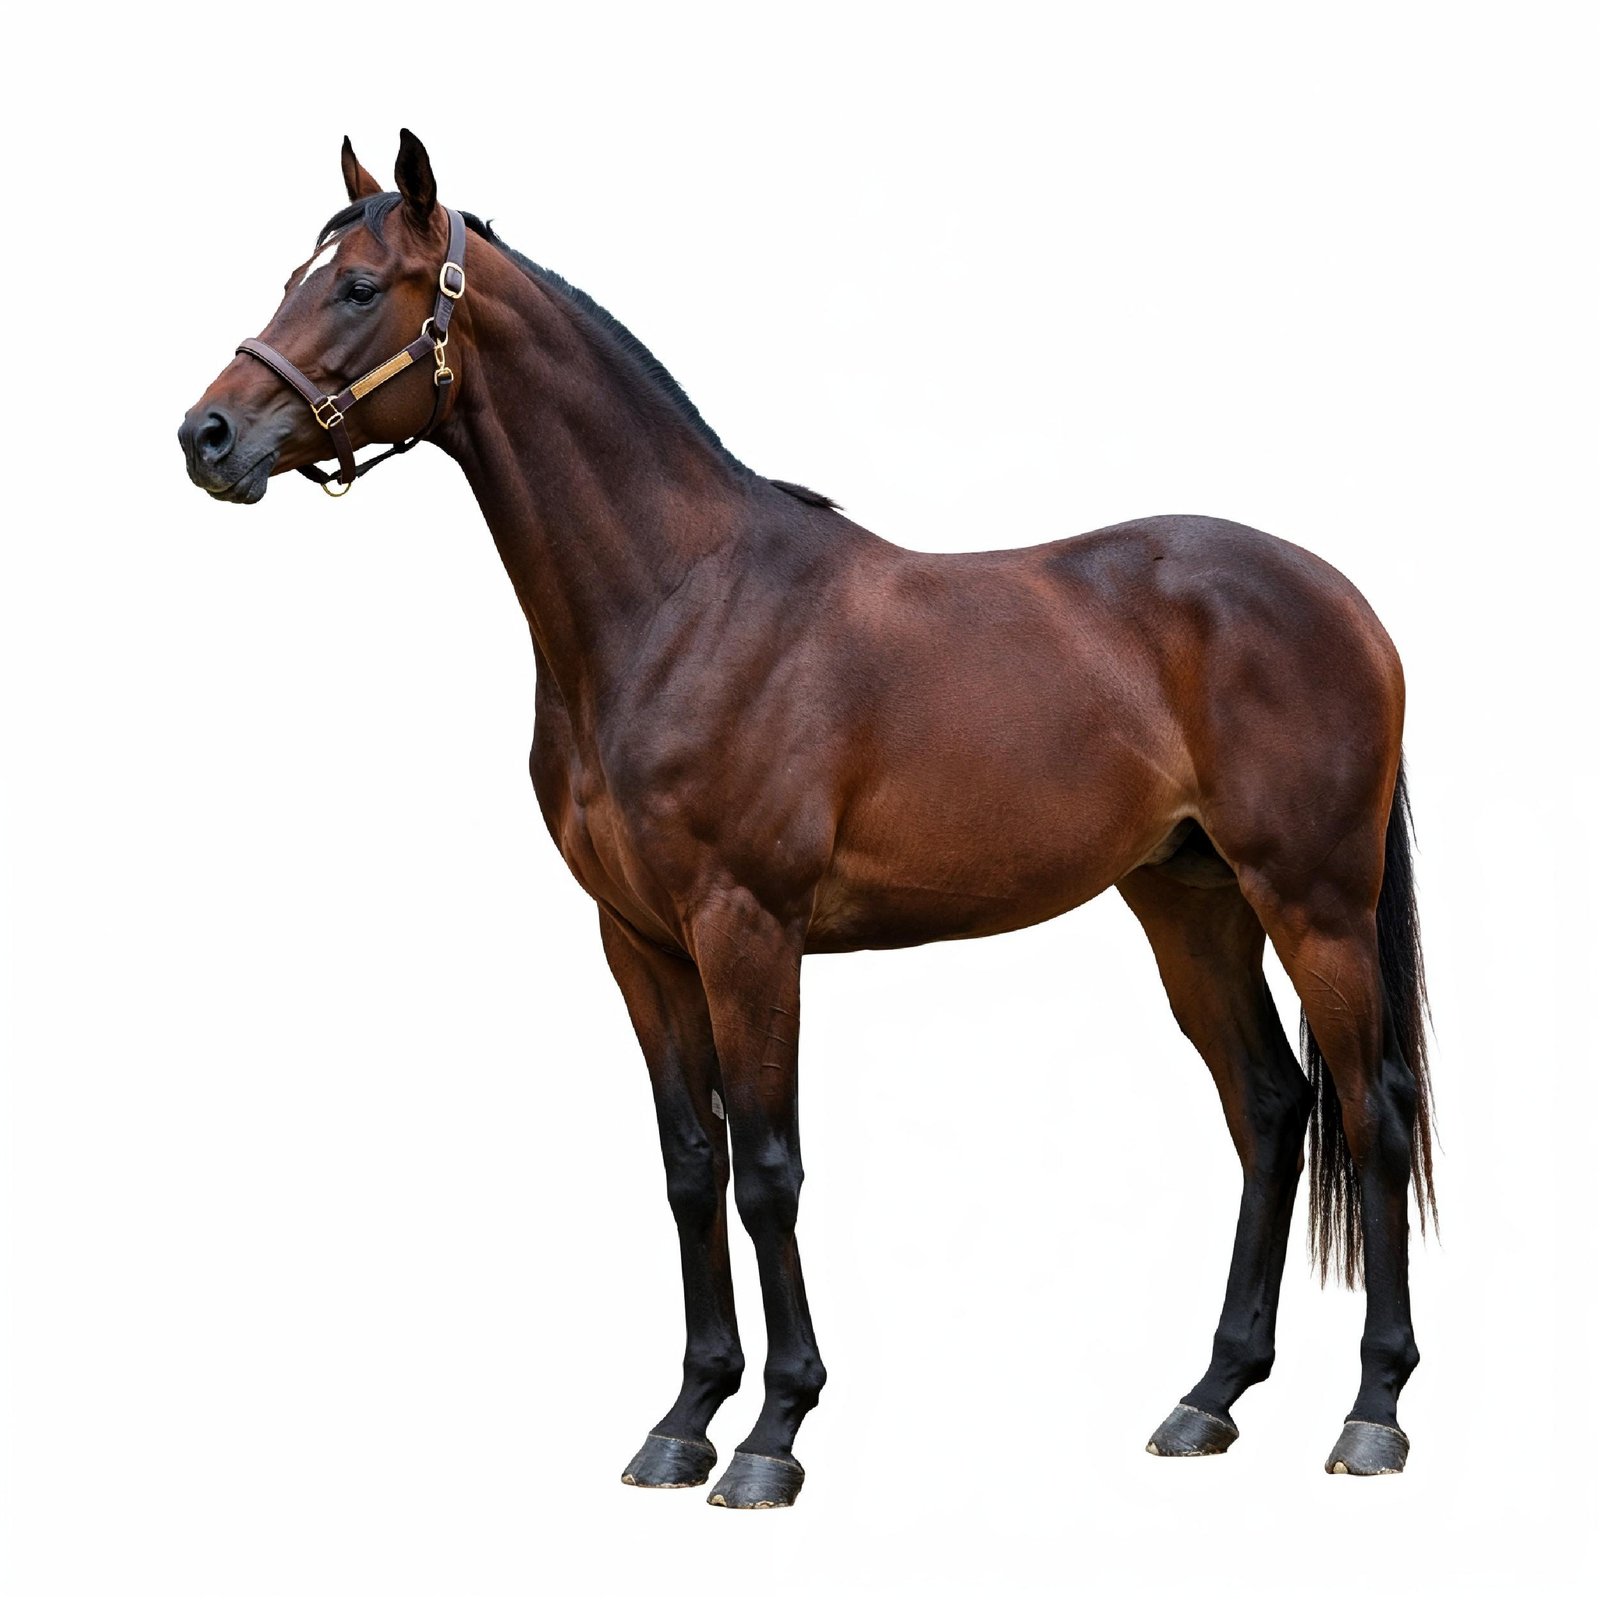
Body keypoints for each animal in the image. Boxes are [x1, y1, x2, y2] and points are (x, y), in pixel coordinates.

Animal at [179, 131, 1437, 1507]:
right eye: (295, 276)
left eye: (359, 287)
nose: (207, 433)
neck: (675, 601)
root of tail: (1342, 600)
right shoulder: (640, 942)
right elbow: (691, 1167)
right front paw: (685, 1416)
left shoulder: (749, 930)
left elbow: (769, 1170)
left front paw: (772, 1432)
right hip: (1189, 902)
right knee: (1268, 1107)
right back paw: (1208, 1396)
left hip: (1312, 901)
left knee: (1371, 1108)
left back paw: (1372, 1410)